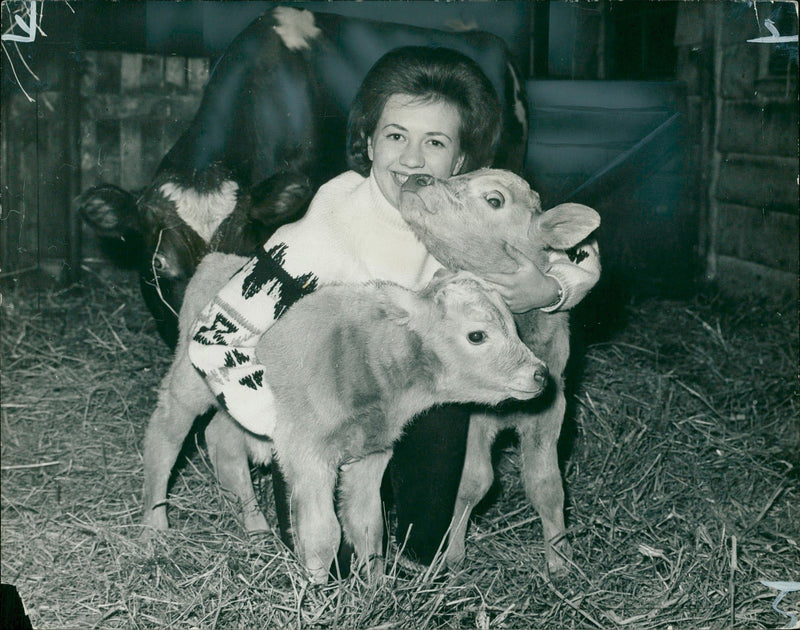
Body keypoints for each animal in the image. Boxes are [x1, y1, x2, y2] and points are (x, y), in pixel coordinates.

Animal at [142, 253, 544, 588]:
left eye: (515, 328)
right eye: (477, 335)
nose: (539, 373)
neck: (365, 363)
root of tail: (217, 258)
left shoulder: (372, 453)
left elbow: (369, 526)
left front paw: (376, 592)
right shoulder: (309, 456)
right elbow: (324, 534)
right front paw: (318, 595)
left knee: (222, 440)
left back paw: (256, 529)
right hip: (191, 381)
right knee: (165, 435)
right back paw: (155, 527)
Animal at [398, 167, 600, 576]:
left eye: (494, 200)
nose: (417, 178)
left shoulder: (551, 409)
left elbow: (546, 484)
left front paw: (560, 559)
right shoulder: (473, 414)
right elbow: (472, 481)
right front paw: (455, 554)